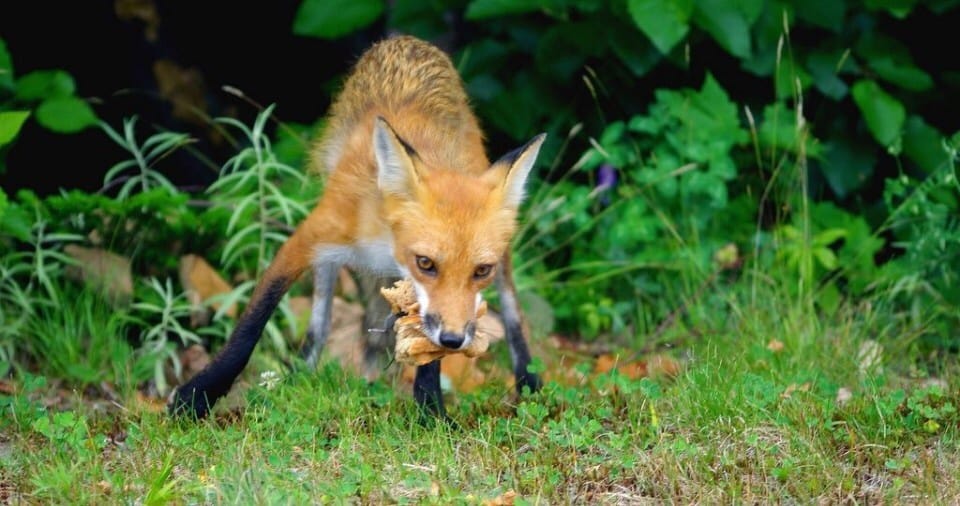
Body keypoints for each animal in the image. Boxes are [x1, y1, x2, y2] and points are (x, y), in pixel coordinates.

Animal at [169, 34, 544, 420]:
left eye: (480, 270)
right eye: (425, 263)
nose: (453, 340)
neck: (386, 247)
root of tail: (407, 40)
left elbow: (428, 351)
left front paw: (431, 412)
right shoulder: (310, 237)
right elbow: (250, 327)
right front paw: (196, 394)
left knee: (514, 317)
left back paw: (529, 384)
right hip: (327, 261)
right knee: (319, 324)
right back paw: (302, 375)